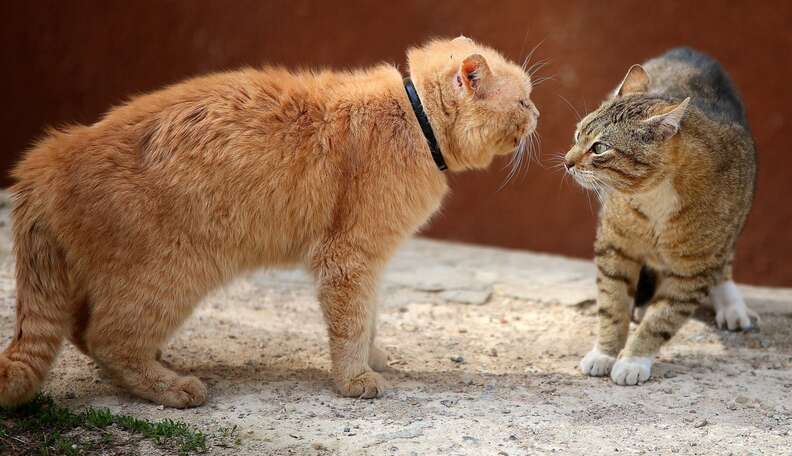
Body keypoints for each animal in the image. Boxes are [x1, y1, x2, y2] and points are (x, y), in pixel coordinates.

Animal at [0, 35, 540, 406]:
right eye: (523, 100)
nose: (537, 114)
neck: (413, 120)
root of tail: (44, 161)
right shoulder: (349, 259)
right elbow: (351, 324)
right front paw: (356, 378)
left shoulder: (371, 262)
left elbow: (369, 318)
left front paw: (372, 358)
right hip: (168, 278)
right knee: (106, 338)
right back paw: (172, 387)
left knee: (84, 333)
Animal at [568, 48, 756, 384]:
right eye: (578, 135)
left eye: (599, 148)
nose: (566, 162)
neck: (653, 195)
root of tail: (688, 51)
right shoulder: (615, 246)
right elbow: (612, 304)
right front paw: (605, 352)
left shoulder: (693, 269)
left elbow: (663, 318)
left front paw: (633, 360)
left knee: (724, 263)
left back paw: (731, 304)